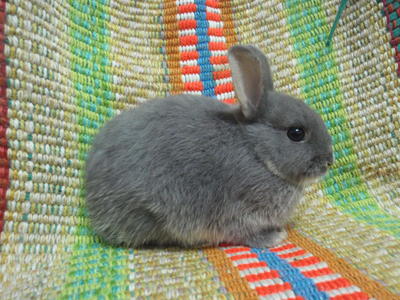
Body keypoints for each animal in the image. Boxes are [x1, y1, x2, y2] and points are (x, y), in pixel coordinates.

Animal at [86, 45, 332, 248]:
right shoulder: (242, 210)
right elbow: (247, 234)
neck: (257, 151)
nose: (329, 161)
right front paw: (274, 237)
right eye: (296, 133)